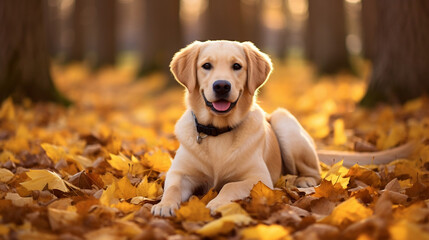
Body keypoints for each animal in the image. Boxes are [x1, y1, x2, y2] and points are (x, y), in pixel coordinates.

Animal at [151, 40, 320, 217]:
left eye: (237, 66)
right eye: (206, 65)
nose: (221, 86)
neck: (218, 130)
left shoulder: (258, 177)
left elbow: (230, 185)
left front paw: (217, 203)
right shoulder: (179, 173)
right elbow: (172, 188)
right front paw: (164, 204)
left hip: (284, 121)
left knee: (315, 170)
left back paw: (305, 180)